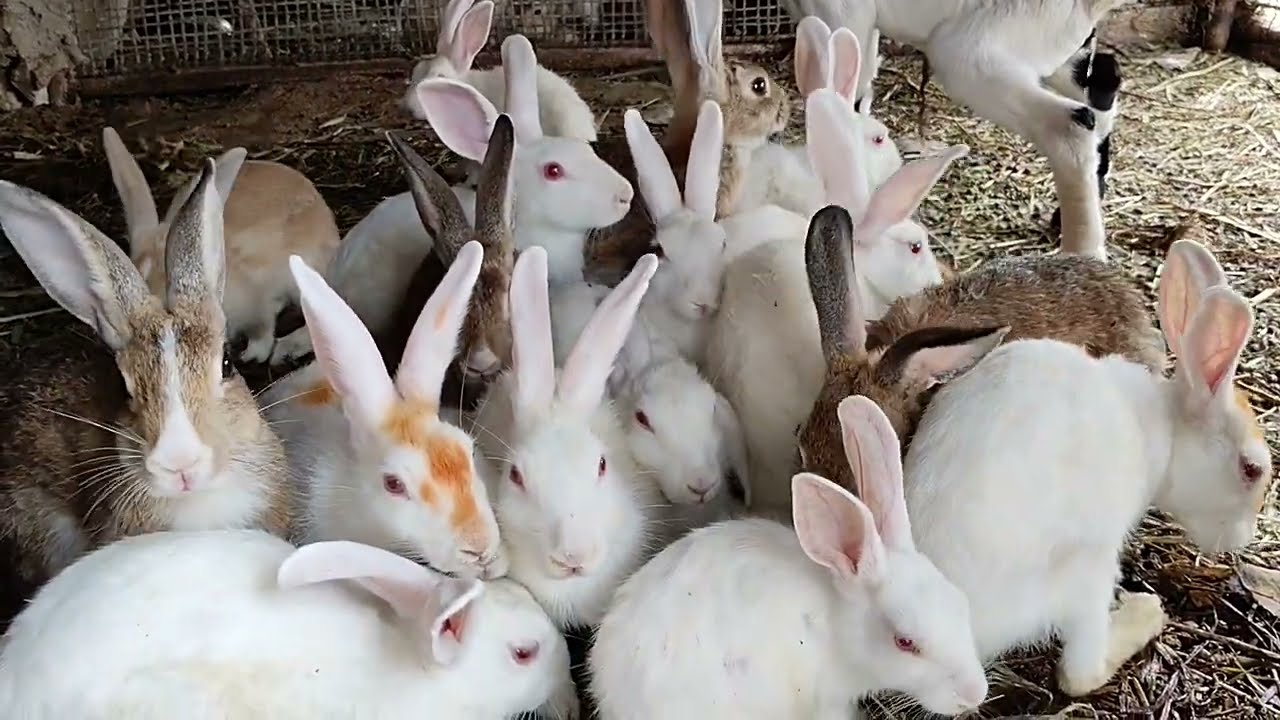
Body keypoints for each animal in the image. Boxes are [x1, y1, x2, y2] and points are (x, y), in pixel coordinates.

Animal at [900, 238, 1272, 698]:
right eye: (1252, 469)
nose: (1243, 539)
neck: (1167, 428)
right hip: (1090, 571)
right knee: (1079, 674)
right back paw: (1145, 613)